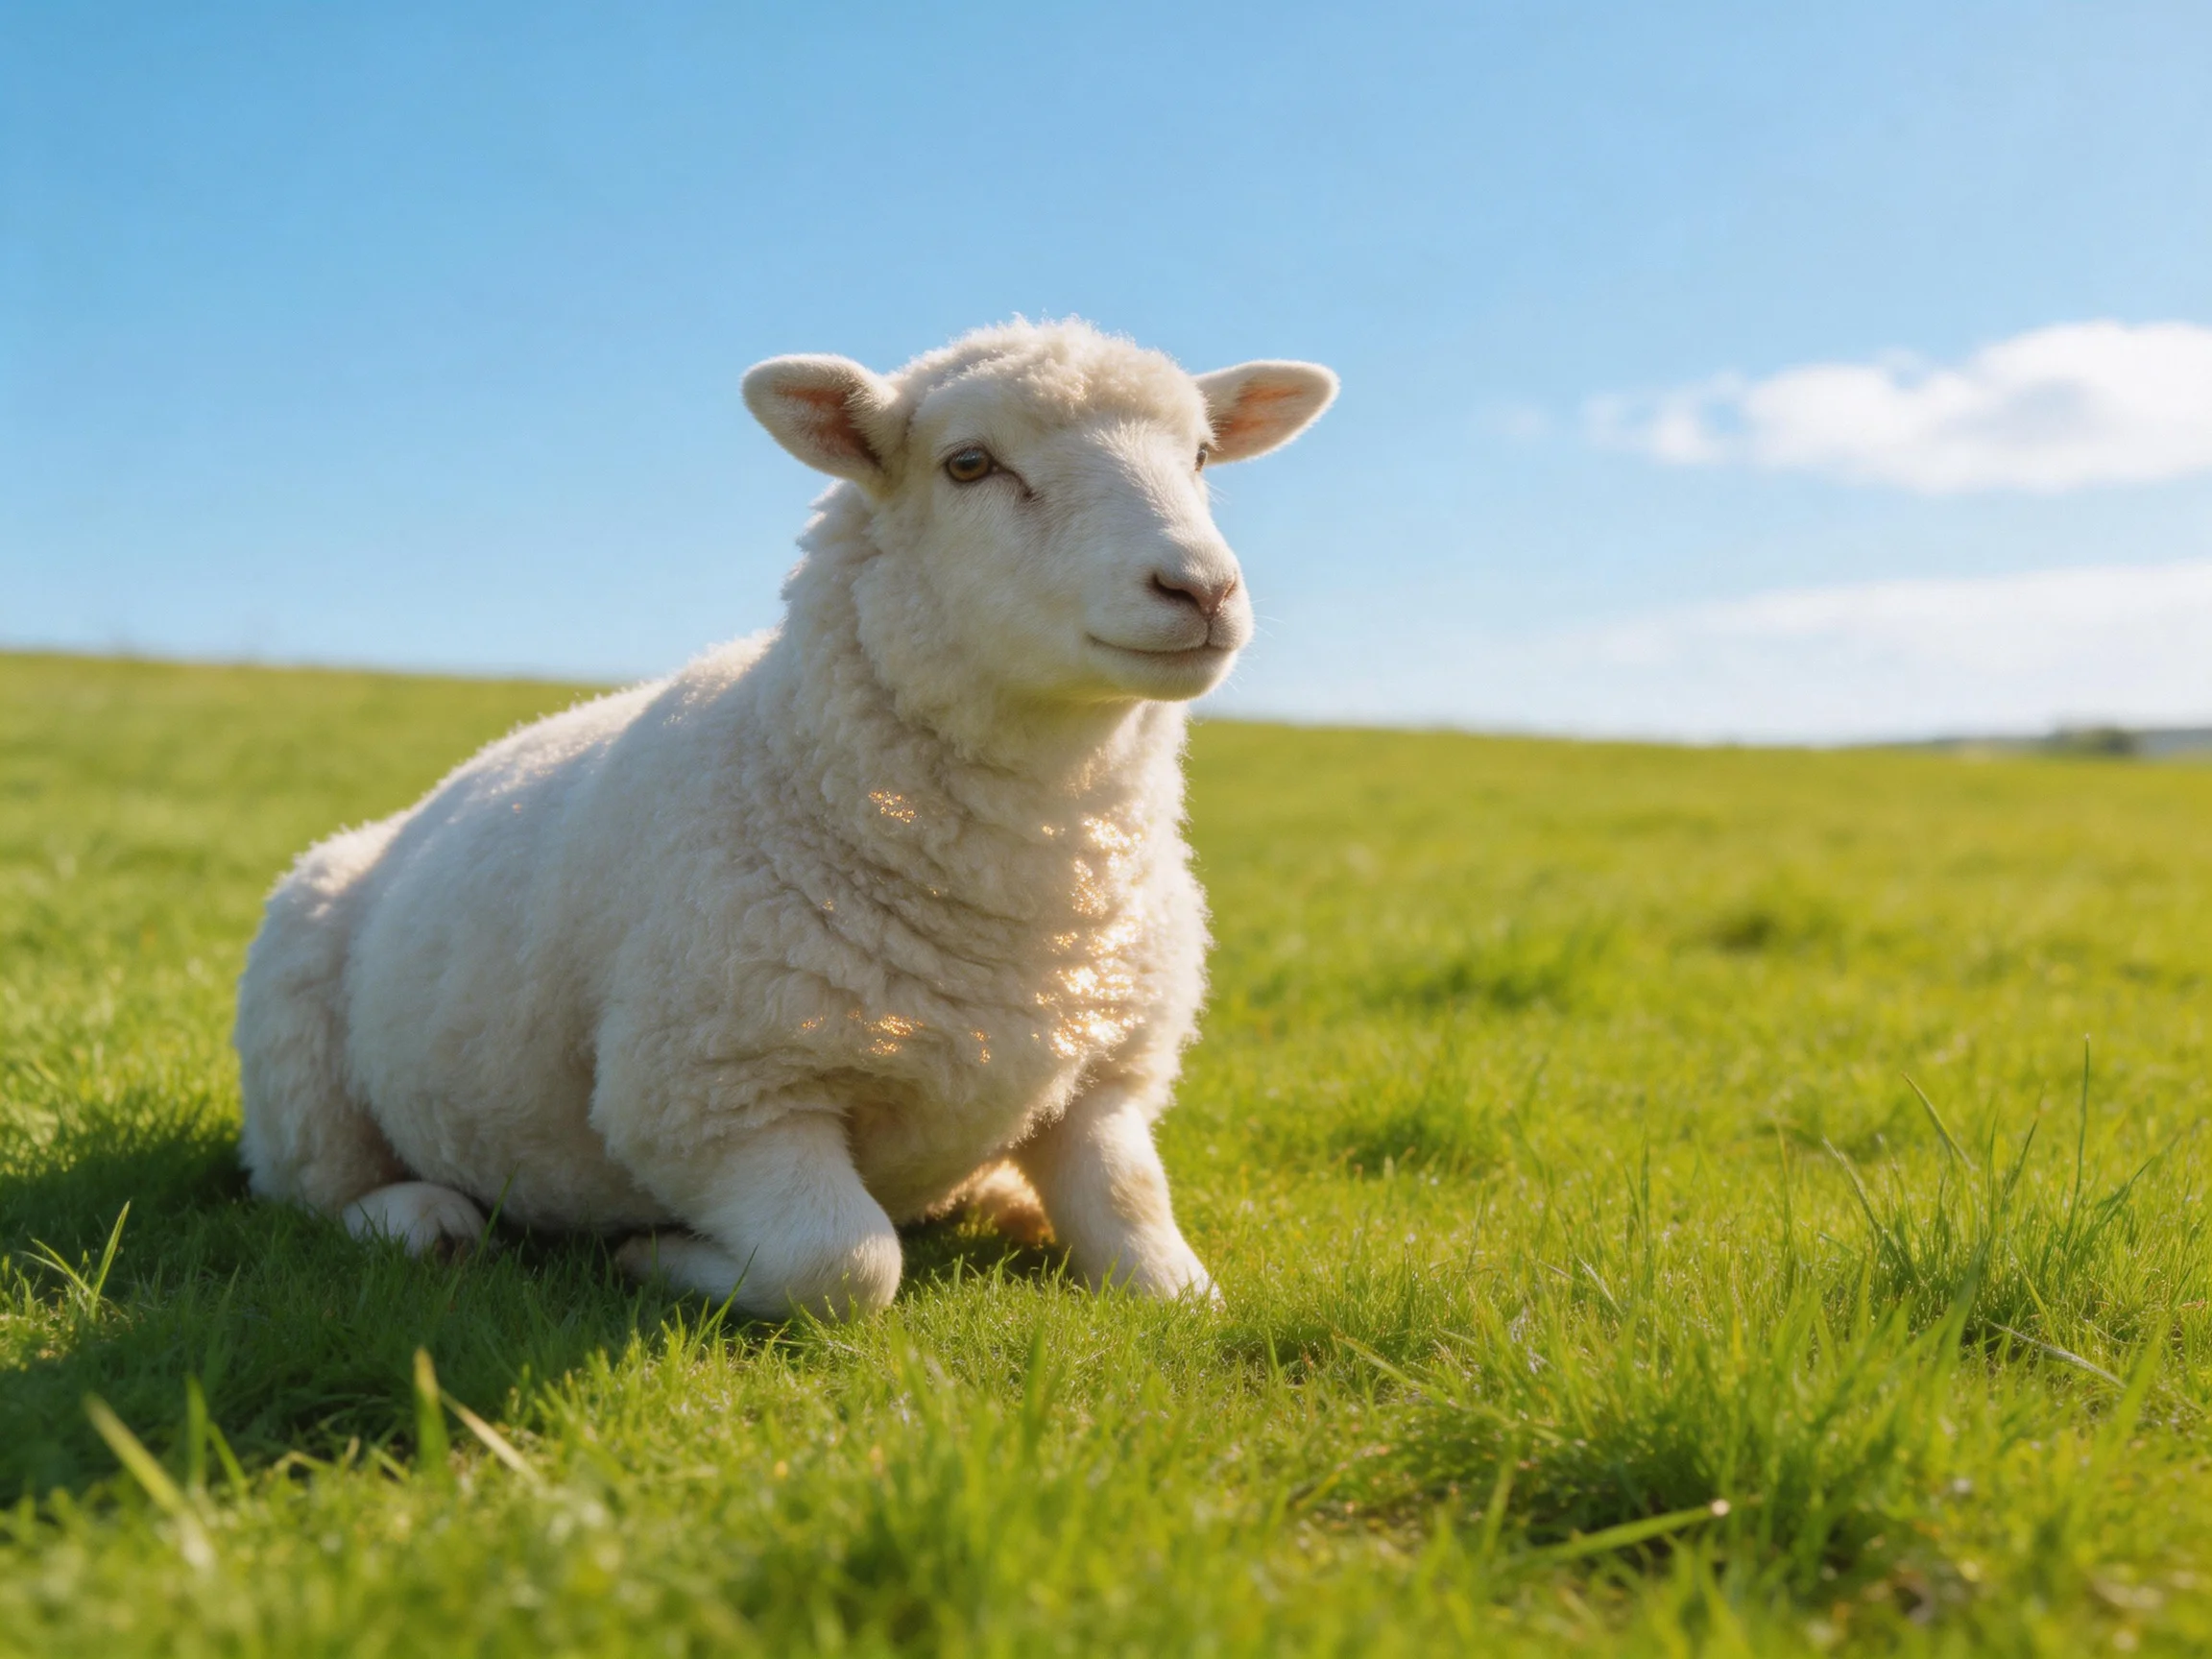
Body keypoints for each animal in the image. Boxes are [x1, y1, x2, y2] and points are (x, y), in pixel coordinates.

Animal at [233, 319, 1337, 1317]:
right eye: (969, 464)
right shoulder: (713, 1098)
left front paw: (1160, 1276)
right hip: (297, 1040)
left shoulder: (1108, 1075)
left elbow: (1150, 1239)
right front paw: (655, 1255)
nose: (1200, 587)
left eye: (1201, 456)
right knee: (310, 1186)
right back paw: (420, 1219)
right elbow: (844, 1264)